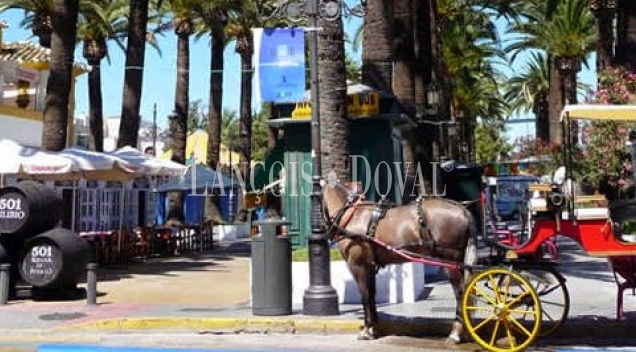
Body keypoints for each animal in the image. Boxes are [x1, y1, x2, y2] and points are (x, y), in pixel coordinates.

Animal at [322, 180, 476, 342]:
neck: (352, 215)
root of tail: (462, 209)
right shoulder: (369, 266)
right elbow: (371, 294)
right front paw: (373, 328)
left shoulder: (358, 265)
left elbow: (365, 295)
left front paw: (367, 329)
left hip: (449, 261)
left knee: (461, 293)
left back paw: (455, 333)